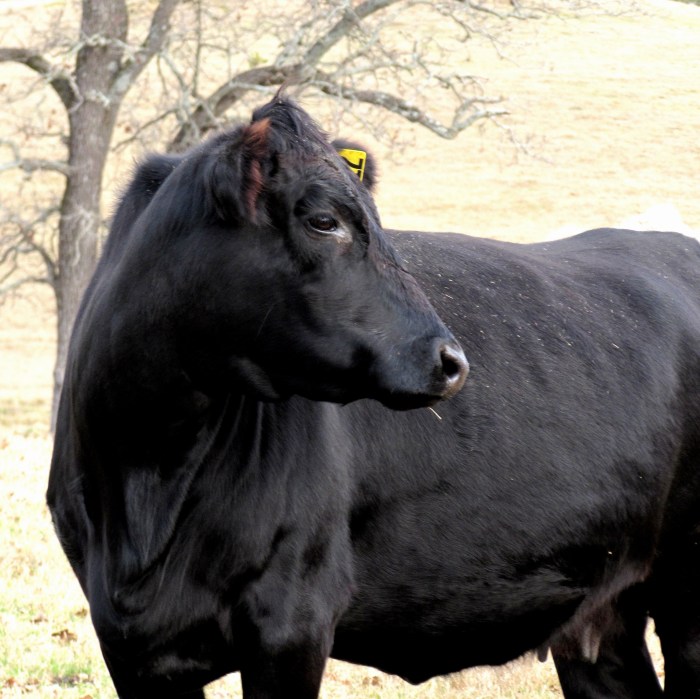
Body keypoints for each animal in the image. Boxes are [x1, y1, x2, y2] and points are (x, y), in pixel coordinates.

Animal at [48, 95, 700, 699]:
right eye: (323, 220)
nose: (452, 360)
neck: (148, 476)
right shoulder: (130, 647)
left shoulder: (293, 618)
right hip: (603, 610)